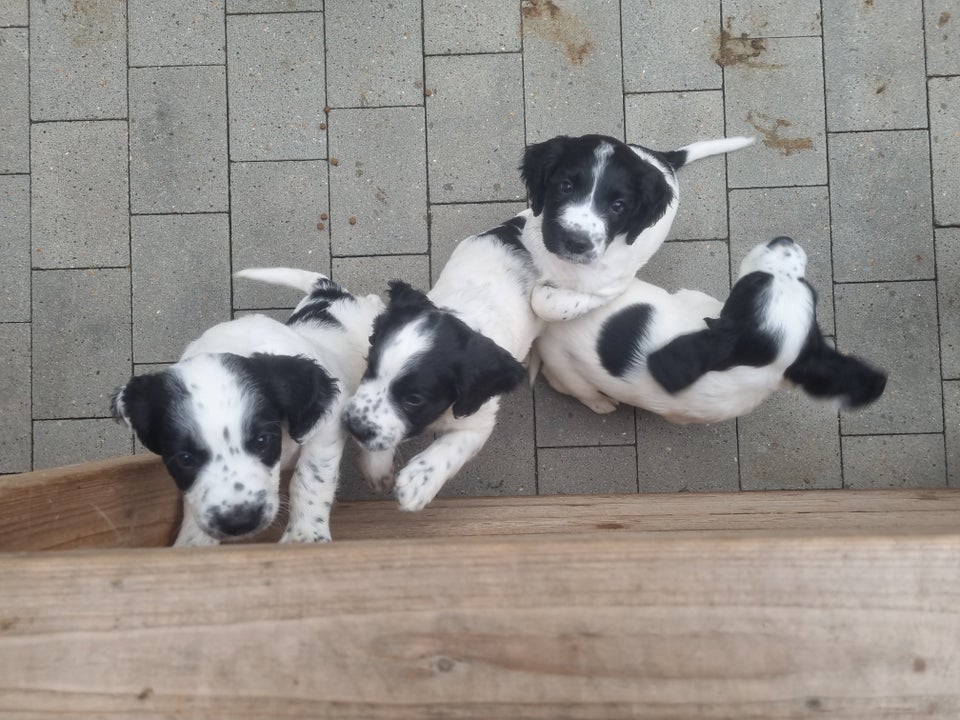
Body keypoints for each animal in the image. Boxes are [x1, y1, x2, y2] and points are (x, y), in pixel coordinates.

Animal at [112, 270, 382, 544]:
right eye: (184, 458)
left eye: (262, 441)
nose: (239, 522)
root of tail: (327, 291)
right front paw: (194, 542)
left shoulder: (327, 424)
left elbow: (309, 477)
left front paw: (304, 535)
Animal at [344, 214, 540, 512]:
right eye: (369, 365)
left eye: (414, 399)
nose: (353, 427)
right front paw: (376, 466)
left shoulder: (479, 418)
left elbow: (454, 446)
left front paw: (419, 480)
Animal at [532, 239, 884, 424]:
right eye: (808, 287)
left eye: (752, 283)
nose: (784, 240)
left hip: (568, 370)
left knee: (574, 388)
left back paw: (600, 402)